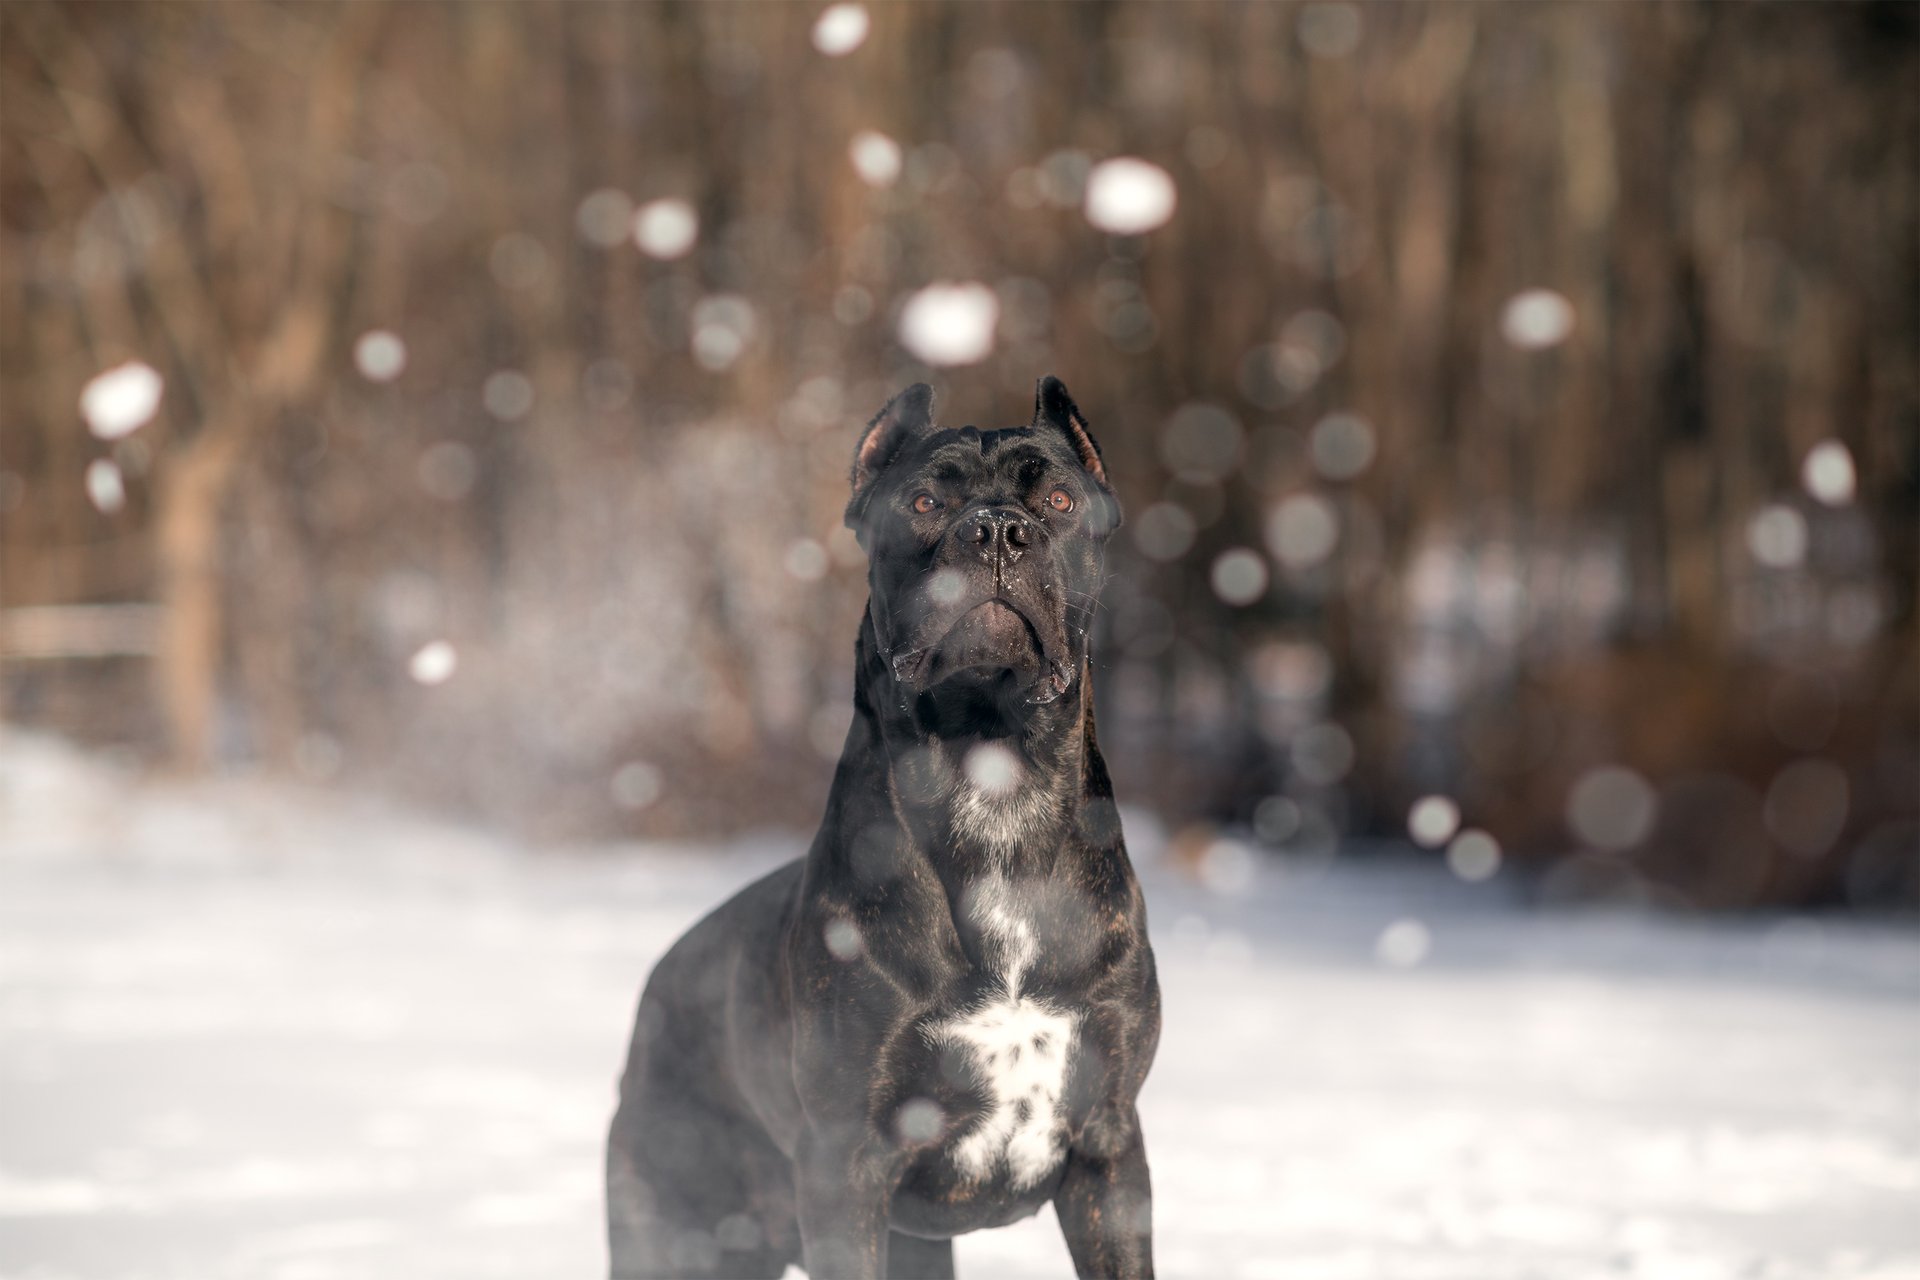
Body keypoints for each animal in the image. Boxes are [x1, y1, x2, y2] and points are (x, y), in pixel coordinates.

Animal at [606, 379, 1159, 1280]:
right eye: (925, 502)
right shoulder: (846, 1162)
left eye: (1059, 500)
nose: (996, 529)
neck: (993, 773)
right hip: (678, 1228)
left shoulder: (1109, 1146)